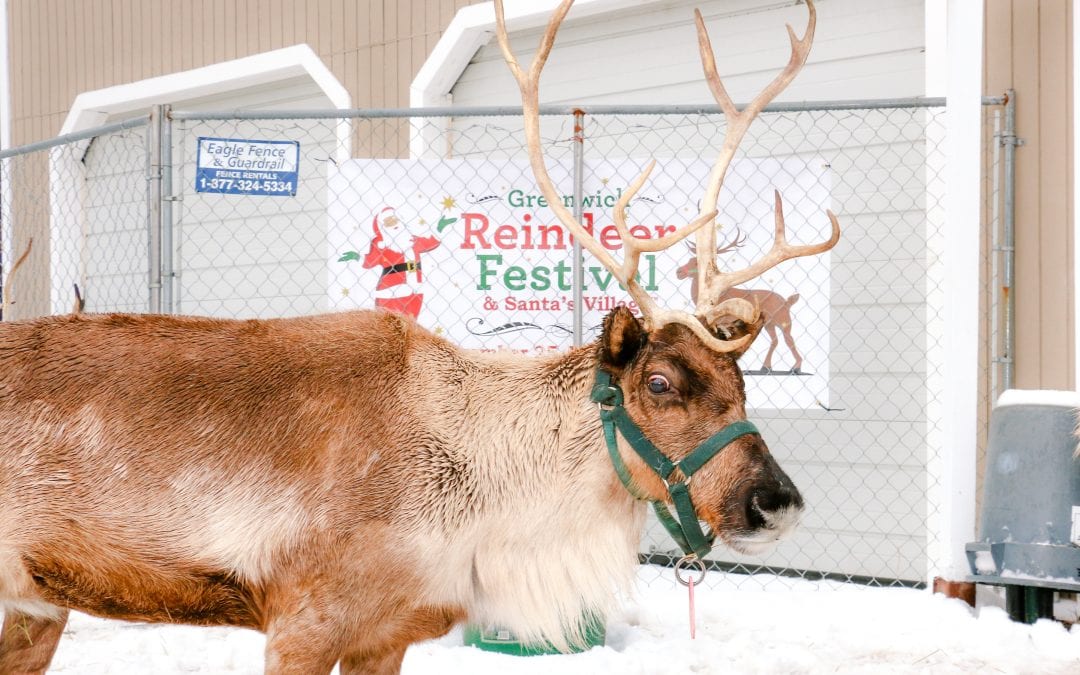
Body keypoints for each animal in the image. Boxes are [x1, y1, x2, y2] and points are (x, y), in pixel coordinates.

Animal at [676, 232, 810, 374]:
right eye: (689, 260)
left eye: (695, 263)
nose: (678, 272)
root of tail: (787, 302)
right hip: (770, 324)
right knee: (775, 340)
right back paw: (765, 367)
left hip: (783, 321)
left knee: (788, 339)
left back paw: (796, 367)